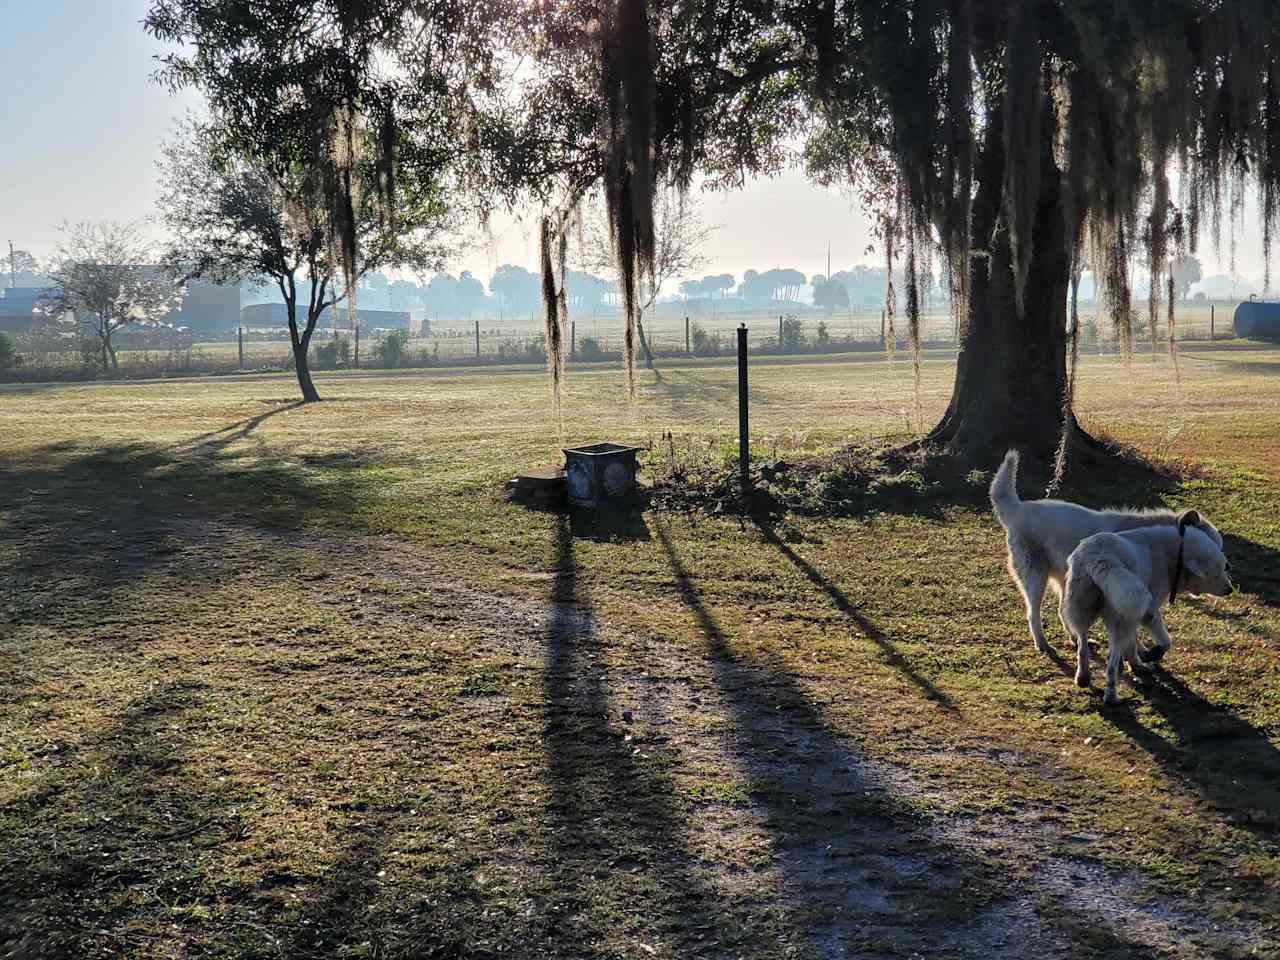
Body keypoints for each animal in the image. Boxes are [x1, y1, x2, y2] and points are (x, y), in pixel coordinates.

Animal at [988, 450, 1218, 660]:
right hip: (1036, 578)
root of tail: (1018, 508)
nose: (1224, 572)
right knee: (1033, 613)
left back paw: (1077, 640)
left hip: (1065, 580)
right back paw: (1043, 644)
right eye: (1211, 550)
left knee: (1063, 611)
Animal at [1054, 512, 1233, 706]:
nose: (1230, 589)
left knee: (1082, 648)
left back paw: (1083, 678)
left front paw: (1136, 663)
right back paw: (1111, 696)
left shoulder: (1134, 613)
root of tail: (1101, 557)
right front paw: (1148, 657)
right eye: (1219, 570)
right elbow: (1165, 641)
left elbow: (1132, 643)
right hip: (1119, 620)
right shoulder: (1148, 610)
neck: (1175, 553)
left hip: (1081, 611)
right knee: (1110, 665)